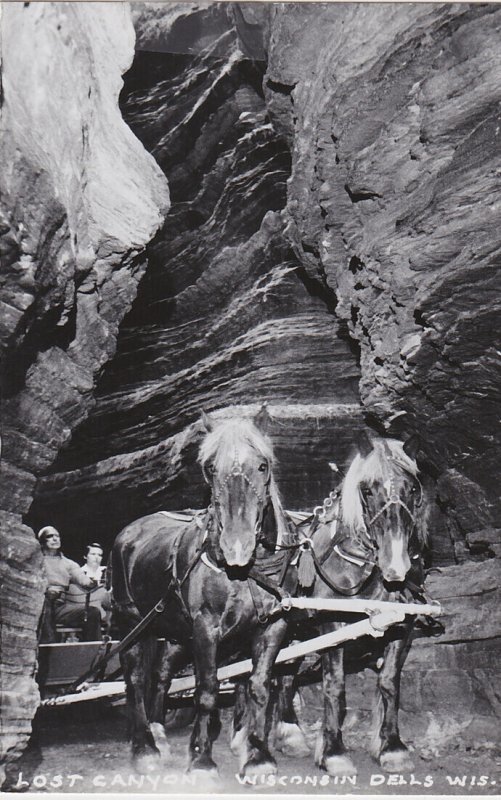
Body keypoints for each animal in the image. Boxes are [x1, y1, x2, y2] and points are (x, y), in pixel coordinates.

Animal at [109, 410, 292, 780]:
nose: (236, 546)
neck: (245, 573)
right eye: (210, 468)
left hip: (175, 630)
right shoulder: (206, 629)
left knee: (161, 674)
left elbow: (259, 686)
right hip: (132, 622)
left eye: (263, 465)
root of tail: (130, 530)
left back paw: (158, 732)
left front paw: (258, 756)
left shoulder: (272, 627)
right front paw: (202, 760)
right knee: (135, 679)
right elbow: (207, 690)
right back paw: (144, 747)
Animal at [272, 438, 432, 776]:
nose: (396, 566)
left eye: (413, 488)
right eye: (368, 490)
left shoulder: (402, 626)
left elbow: (389, 683)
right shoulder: (332, 625)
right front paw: (334, 752)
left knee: (287, 675)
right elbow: (335, 686)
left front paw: (392, 747)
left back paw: (291, 735)